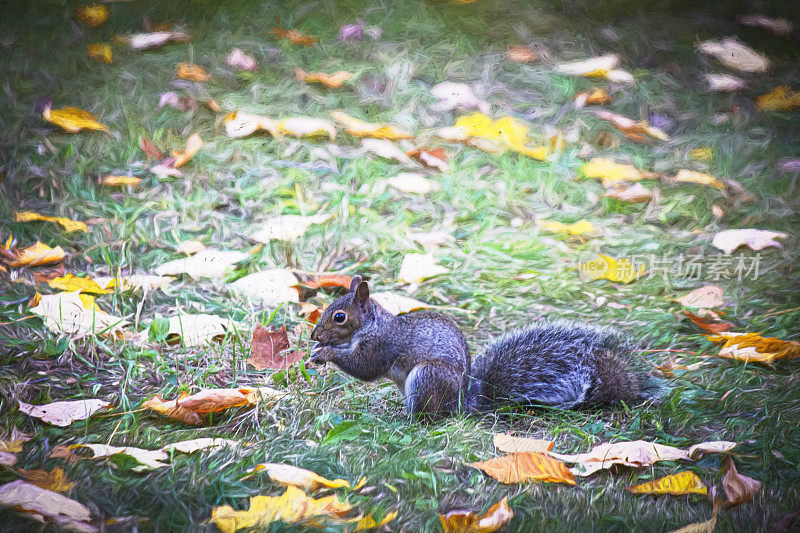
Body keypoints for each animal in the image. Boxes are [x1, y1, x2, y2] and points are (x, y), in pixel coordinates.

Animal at [310, 276, 664, 418]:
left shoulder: (381, 346)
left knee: (427, 416)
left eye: (339, 317)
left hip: (426, 376)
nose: (315, 336)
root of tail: (461, 405)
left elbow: (365, 368)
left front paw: (326, 354)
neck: (373, 325)